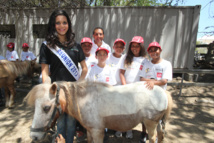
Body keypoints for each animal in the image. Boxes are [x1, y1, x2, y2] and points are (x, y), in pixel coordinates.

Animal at [24, 79, 172, 143]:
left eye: (46, 107)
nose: (34, 136)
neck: (85, 100)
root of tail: (162, 92)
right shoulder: (90, 131)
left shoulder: (97, 132)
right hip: (157, 123)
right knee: (160, 136)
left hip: (150, 124)